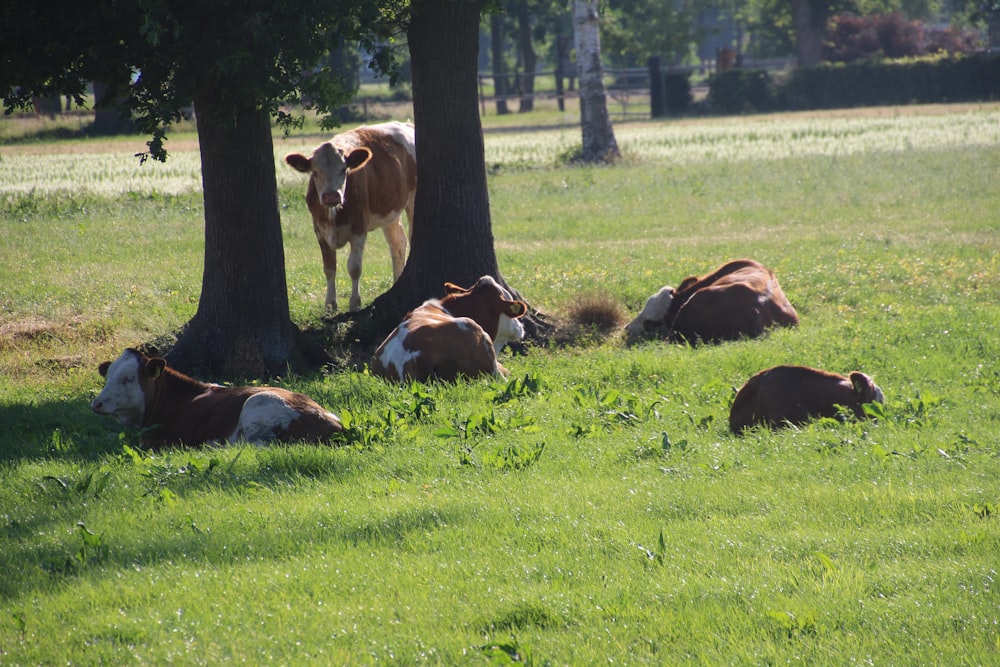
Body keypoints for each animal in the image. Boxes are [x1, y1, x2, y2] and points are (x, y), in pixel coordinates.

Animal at [284, 120, 416, 314]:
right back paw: (396, 281)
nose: (331, 196)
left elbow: (354, 267)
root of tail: (405, 124)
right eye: (314, 172)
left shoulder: (359, 228)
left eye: (344, 170)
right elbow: (329, 267)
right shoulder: (319, 230)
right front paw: (330, 305)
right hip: (390, 211)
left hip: (413, 200)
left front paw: (355, 303)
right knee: (397, 243)